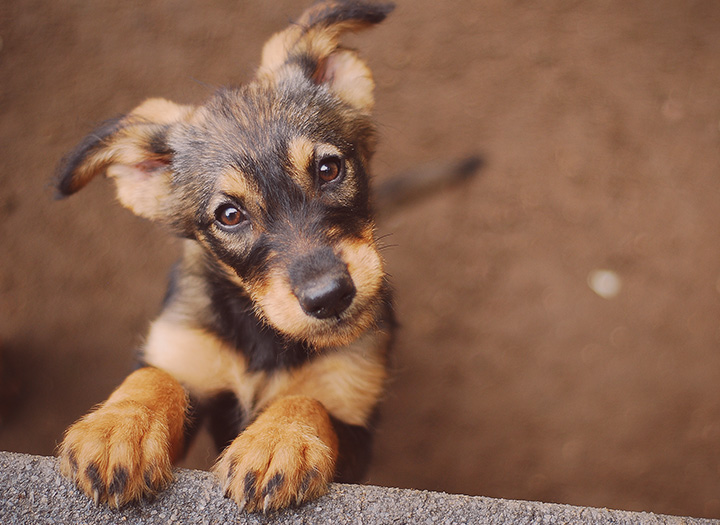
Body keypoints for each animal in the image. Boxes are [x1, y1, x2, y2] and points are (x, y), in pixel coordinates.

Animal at [54, 2, 394, 512]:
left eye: (329, 168)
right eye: (229, 215)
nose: (330, 297)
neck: (264, 337)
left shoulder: (354, 421)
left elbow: (307, 401)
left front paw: (277, 442)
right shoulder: (186, 353)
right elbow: (155, 377)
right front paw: (118, 429)